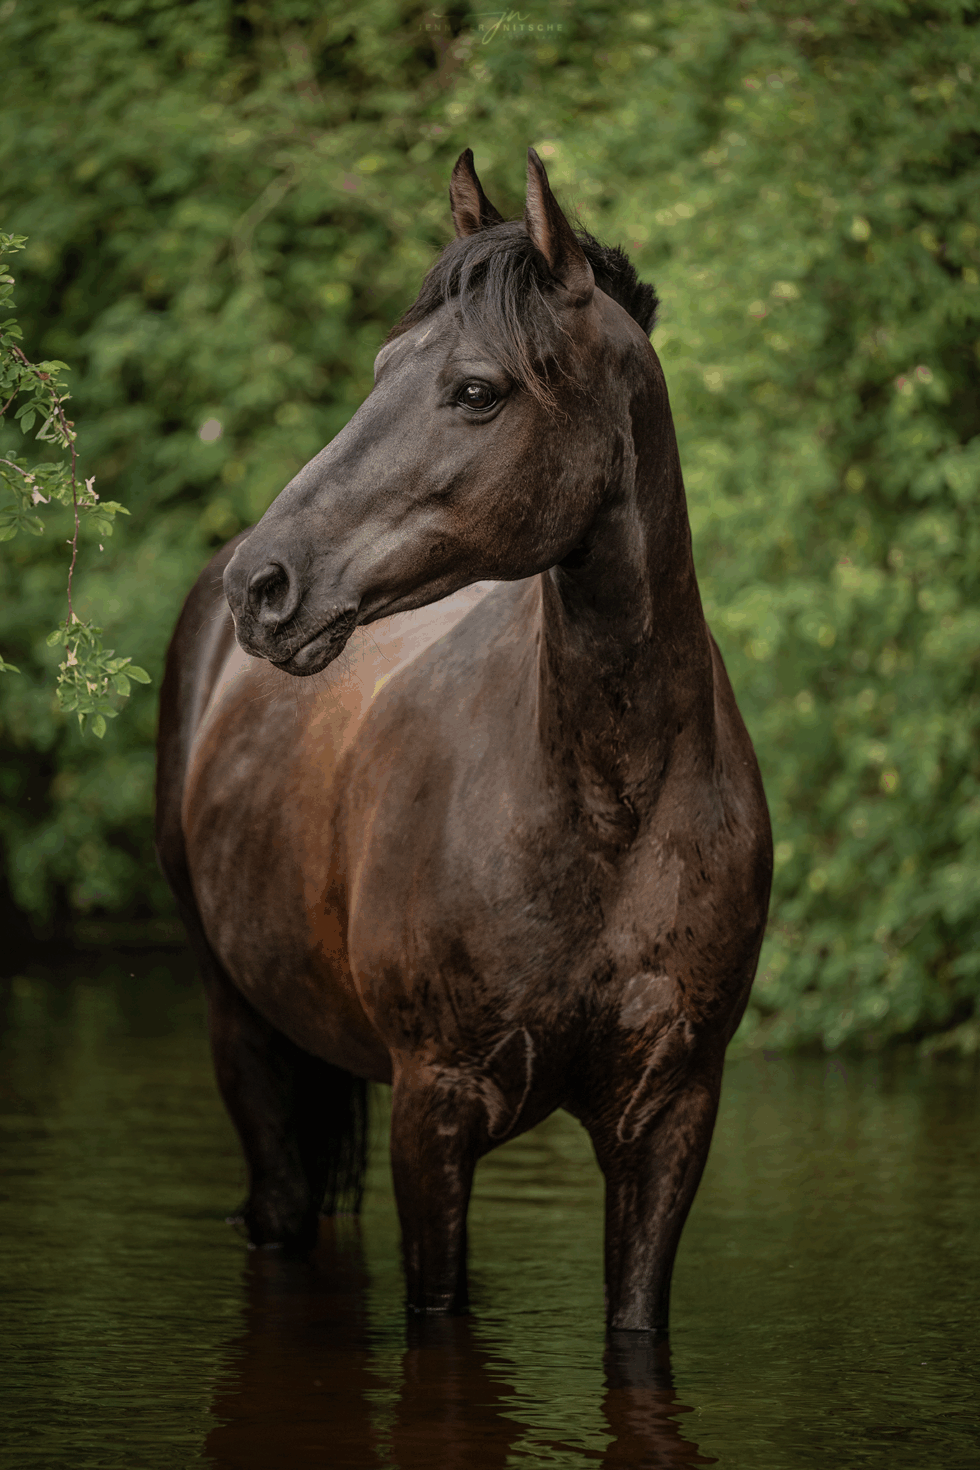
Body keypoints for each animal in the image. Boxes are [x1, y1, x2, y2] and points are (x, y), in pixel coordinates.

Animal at [156, 148, 772, 1333]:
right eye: (382, 365)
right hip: (242, 1037)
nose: (265, 585)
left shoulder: (671, 1116)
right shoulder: (434, 1108)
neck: (610, 808)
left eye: (476, 389)